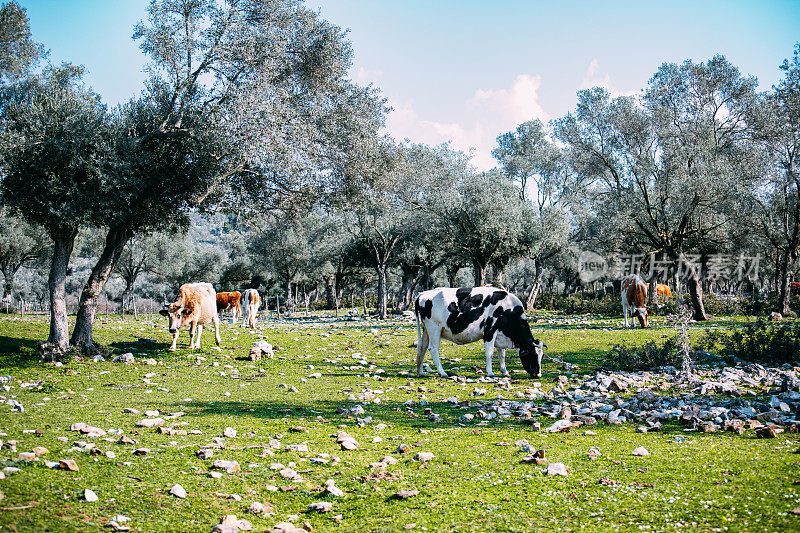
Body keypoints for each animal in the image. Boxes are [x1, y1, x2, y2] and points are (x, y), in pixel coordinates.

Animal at [416, 286, 548, 378]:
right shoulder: (490, 331)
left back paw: (420, 372)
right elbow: (490, 353)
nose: (538, 375)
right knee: (433, 349)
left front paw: (504, 371)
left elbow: (501, 354)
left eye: (541, 356)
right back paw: (442, 372)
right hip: (434, 328)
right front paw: (490, 372)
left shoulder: (499, 334)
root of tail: (422, 294)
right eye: (532, 354)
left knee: (422, 347)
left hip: (426, 329)